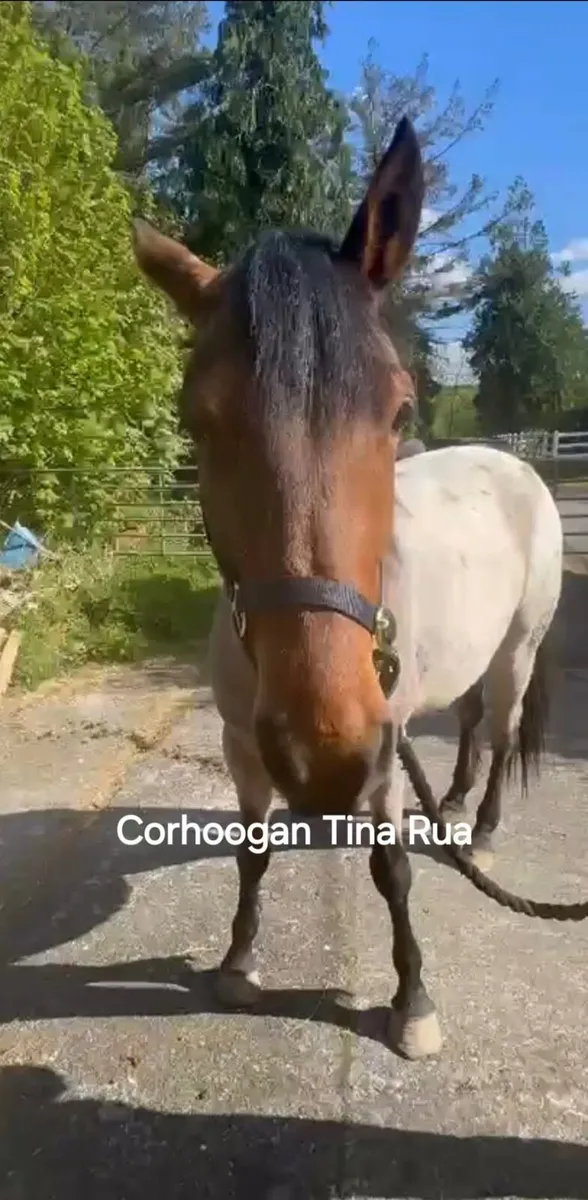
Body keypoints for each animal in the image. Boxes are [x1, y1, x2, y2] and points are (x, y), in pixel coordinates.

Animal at [131, 116, 577, 1064]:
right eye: (197, 422)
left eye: (400, 411)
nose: (323, 747)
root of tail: (517, 461)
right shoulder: (244, 744)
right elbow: (252, 851)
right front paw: (238, 963)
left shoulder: (381, 753)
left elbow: (391, 870)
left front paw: (412, 1002)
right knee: (472, 721)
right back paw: (452, 802)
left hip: (517, 649)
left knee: (503, 727)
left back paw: (481, 828)